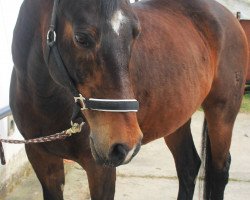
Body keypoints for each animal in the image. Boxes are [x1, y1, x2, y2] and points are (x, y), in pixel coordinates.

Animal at [9, 0, 248, 200]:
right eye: (81, 38)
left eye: (134, 34)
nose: (125, 145)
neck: (45, 100)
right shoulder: (42, 160)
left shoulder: (100, 169)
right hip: (176, 119)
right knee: (188, 166)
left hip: (222, 115)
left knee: (219, 170)